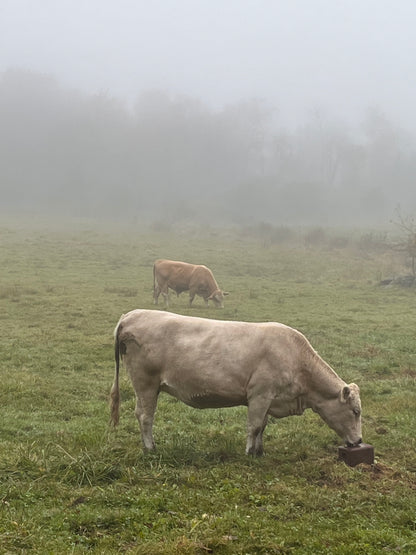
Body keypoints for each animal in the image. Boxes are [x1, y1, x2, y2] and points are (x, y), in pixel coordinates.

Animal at [109, 308, 360, 456]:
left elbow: (262, 426)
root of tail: (131, 315)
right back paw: (150, 447)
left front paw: (259, 450)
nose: (358, 441)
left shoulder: (267, 399)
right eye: (356, 411)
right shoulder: (260, 394)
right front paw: (249, 452)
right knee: (145, 416)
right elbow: (254, 425)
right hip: (146, 383)